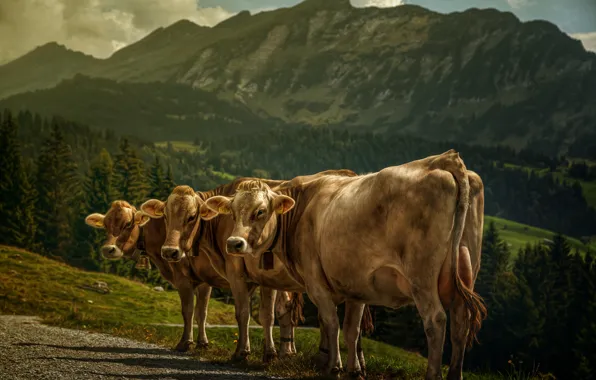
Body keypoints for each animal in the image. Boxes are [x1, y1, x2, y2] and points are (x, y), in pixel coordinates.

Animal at [82, 200, 302, 358]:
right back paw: (287, 351)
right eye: (105, 225)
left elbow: (188, 310)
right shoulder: (204, 280)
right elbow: (201, 312)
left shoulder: (183, 278)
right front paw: (202, 343)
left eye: (128, 224)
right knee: (285, 308)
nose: (108, 249)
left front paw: (185, 343)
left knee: (279, 309)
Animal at [198, 151, 486, 380]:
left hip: (422, 278)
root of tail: (444, 159)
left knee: (436, 320)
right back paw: (455, 374)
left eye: (260, 211)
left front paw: (333, 367)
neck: (302, 208)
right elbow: (351, 330)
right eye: (232, 212)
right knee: (460, 321)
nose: (234, 243)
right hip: (466, 270)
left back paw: (432, 374)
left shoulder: (316, 283)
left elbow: (331, 323)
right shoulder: (356, 287)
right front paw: (353, 370)